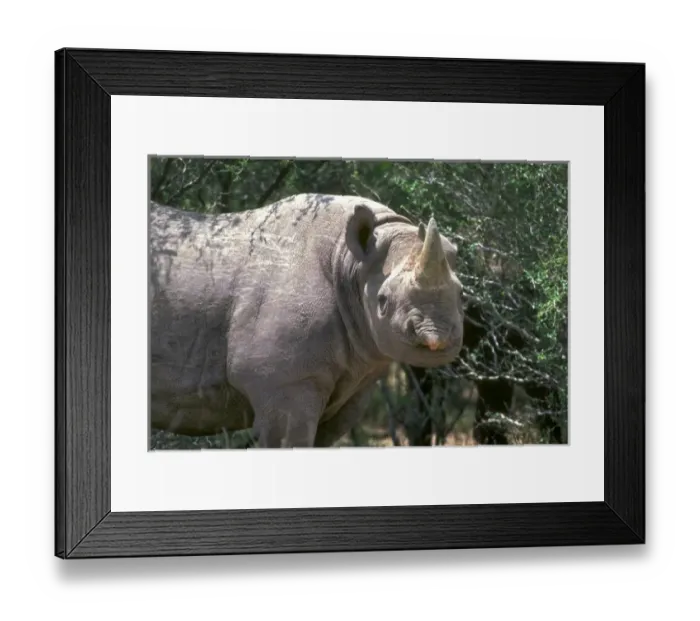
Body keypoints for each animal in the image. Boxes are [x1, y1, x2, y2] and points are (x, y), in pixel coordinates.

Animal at [149, 193, 465, 448]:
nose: (437, 336)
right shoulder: (285, 383)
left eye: (462, 294)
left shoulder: (354, 383)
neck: (350, 263)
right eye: (383, 301)